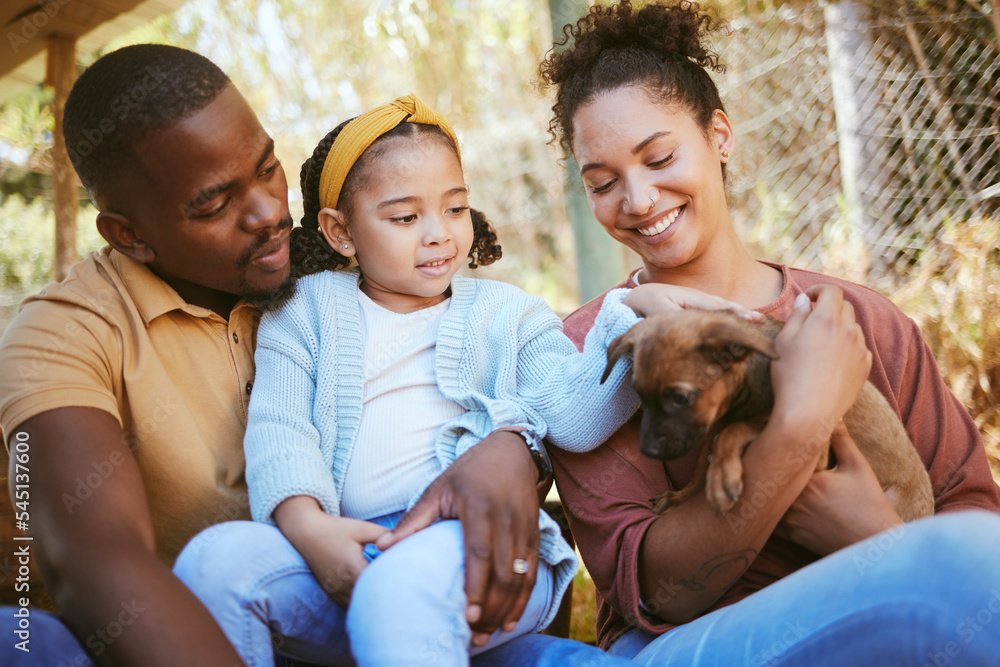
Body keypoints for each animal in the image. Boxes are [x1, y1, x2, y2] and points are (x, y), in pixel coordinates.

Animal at [600, 310, 936, 524]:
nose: (647, 451)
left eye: (681, 398)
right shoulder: (711, 425)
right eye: (639, 394)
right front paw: (679, 497)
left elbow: (732, 432)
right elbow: (698, 470)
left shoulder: (814, 450)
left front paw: (722, 476)